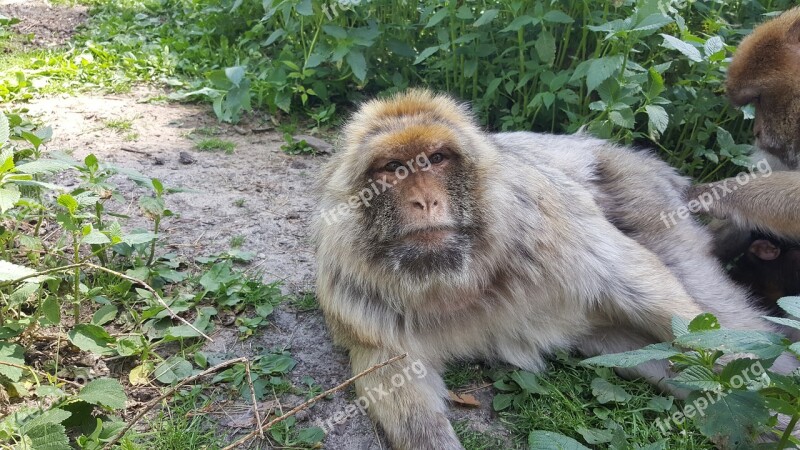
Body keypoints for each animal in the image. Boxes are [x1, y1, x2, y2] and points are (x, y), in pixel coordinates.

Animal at [310, 89, 792, 448]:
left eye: (436, 159)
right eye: (394, 168)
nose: (424, 201)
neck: (458, 278)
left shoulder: (547, 227)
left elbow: (639, 284)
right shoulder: (354, 288)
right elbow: (389, 370)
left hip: (645, 201)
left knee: (715, 317)